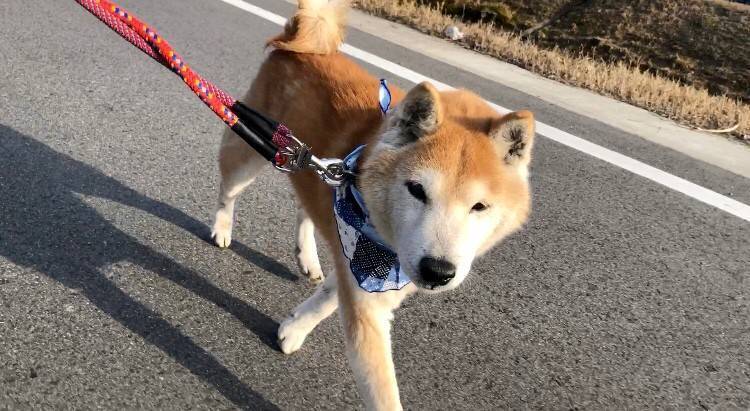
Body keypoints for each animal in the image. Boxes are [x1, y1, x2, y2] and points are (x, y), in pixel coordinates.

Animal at [211, 0, 535, 408]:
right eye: (417, 190)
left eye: (480, 207)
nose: (438, 272)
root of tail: (299, 42)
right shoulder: (369, 287)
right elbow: (383, 392)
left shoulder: (370, 267)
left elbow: (330, 296)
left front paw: (294, 328)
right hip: (254, 150)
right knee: (229, 191)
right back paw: (222, 228)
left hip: (306, 166)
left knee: (307, 208)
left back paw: (308, 257)